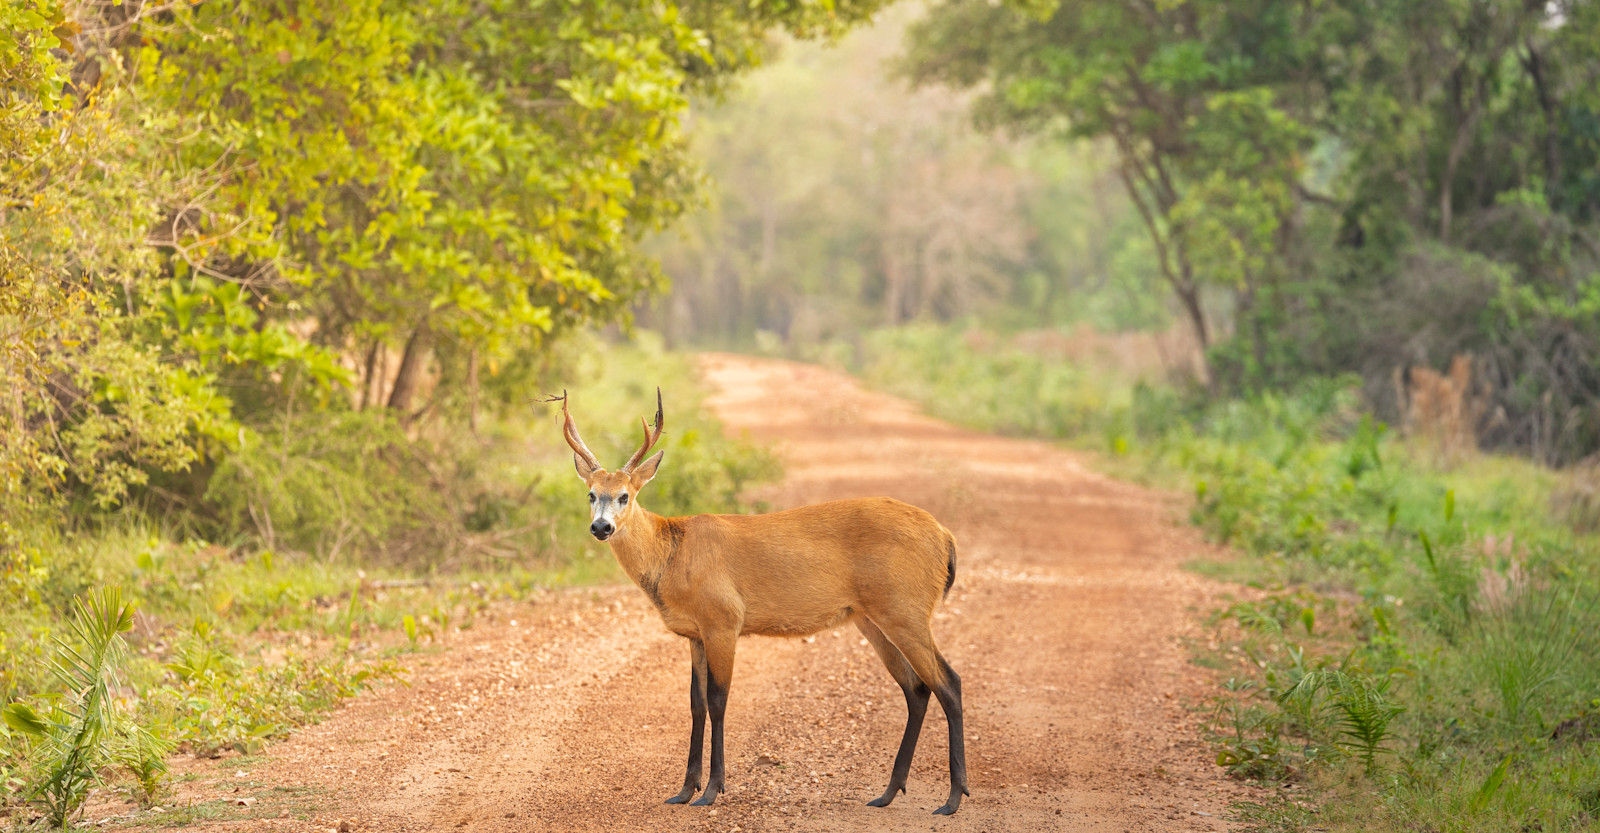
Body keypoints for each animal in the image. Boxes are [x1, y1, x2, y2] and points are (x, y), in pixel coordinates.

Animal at [546, 388, 970, 815]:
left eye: (624, 496)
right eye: (591, 494)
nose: (601, 527)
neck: (672, 556)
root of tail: (945, 536)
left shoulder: (724, 620)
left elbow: (718, 700)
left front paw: (712, 790)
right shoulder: (695, 634)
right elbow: (696, 703)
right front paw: (683, 790)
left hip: (905, 607)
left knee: (949, 682)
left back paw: (953, 798)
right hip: (872, 617)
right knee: (917, 688)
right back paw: (888, 792)